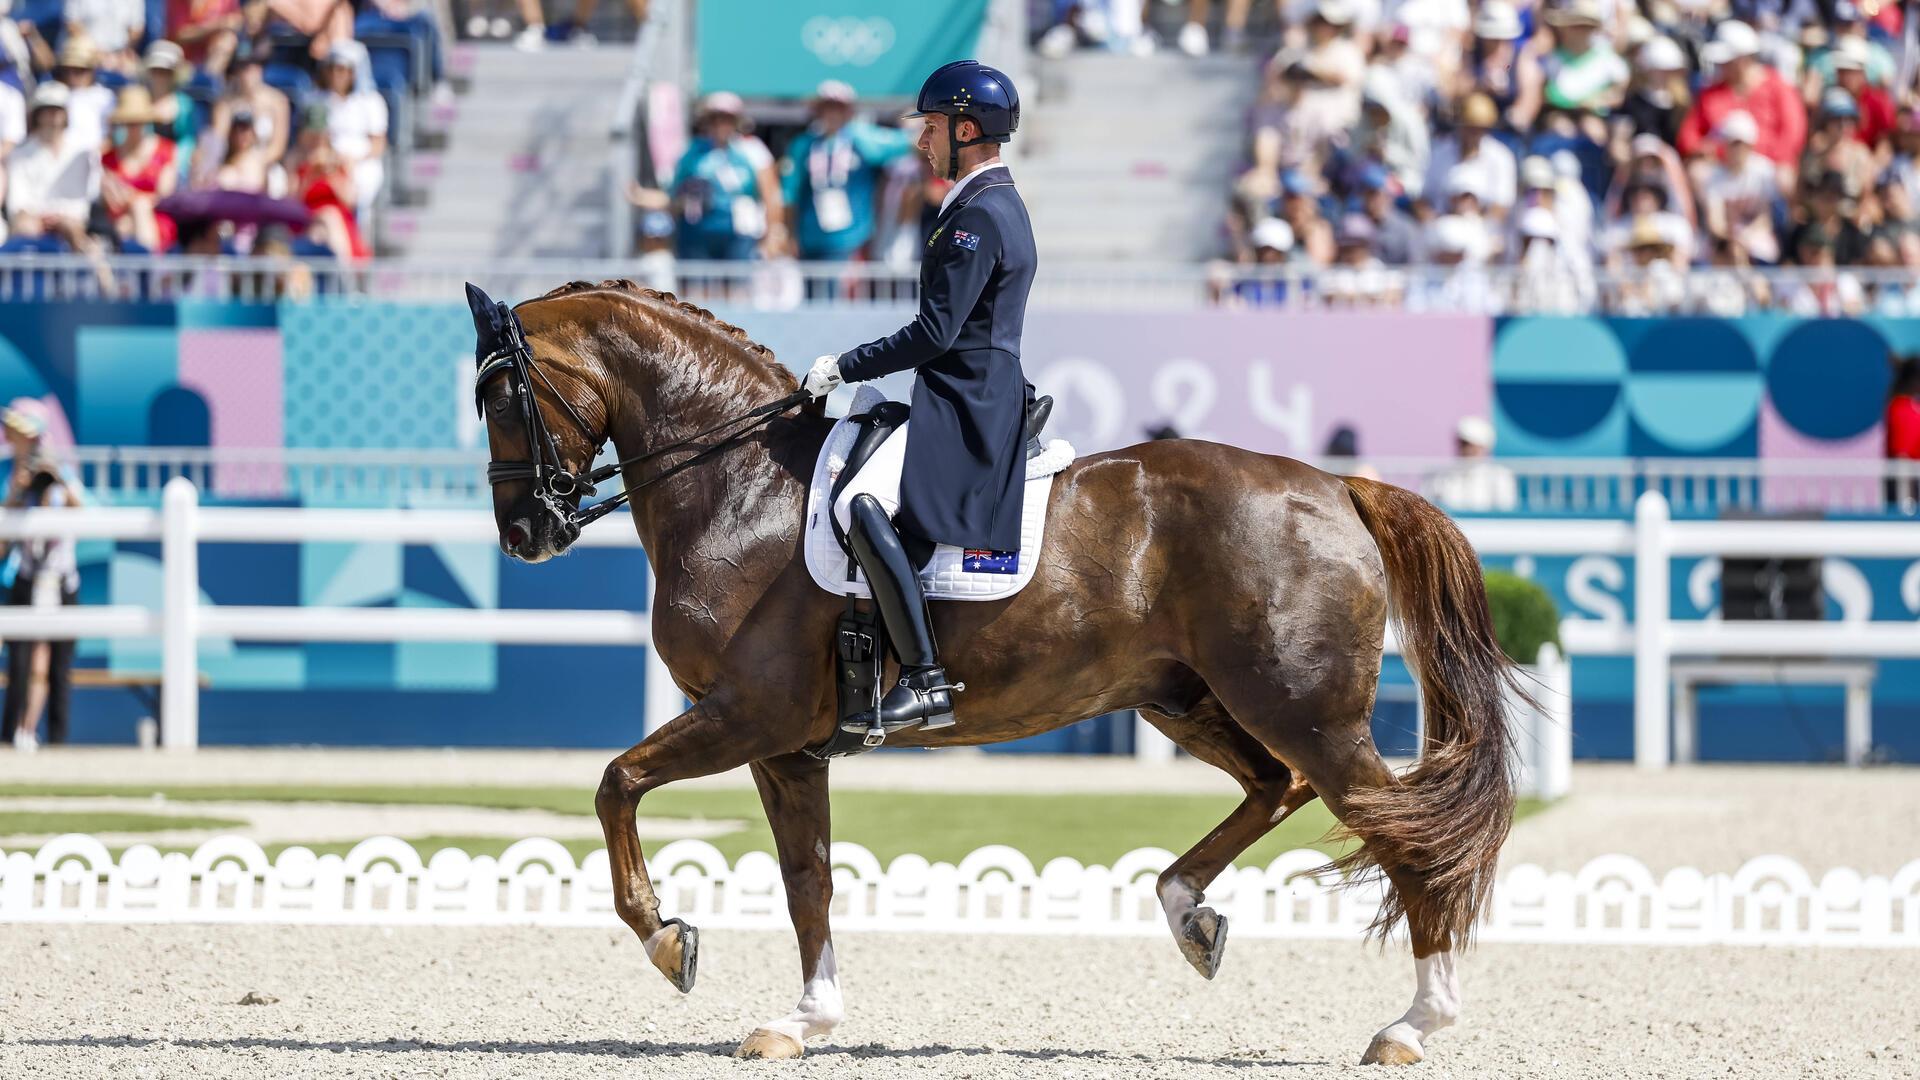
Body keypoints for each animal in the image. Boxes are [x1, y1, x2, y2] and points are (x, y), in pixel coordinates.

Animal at [476, 276, 1512, 1060]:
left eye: (499, 399)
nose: (526, 534)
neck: (741, 488)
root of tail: (1337, 485)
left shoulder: (746, 713)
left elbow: (617, 783)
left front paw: (666, 939)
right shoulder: (788, 746)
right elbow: (807, 877)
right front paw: (803, 1021)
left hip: (1304, 710)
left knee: (1401, 835)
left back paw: (1412, 1027)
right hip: (1189, 701)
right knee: (1277, 788)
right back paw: (1191, 916)